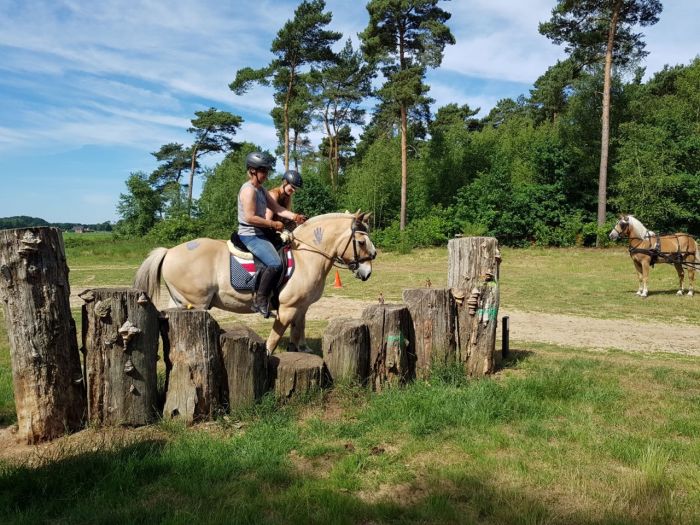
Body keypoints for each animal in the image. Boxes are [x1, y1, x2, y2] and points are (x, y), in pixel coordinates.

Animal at [137, 212, 378, 352]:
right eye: (361, 241)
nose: (367, 272)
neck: (306, 257)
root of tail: (169, 252)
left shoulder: (302, 307)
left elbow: (299, 330)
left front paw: (301, 349)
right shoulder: (287, 309)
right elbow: (274, 339)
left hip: (179, 302)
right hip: (196, 304)